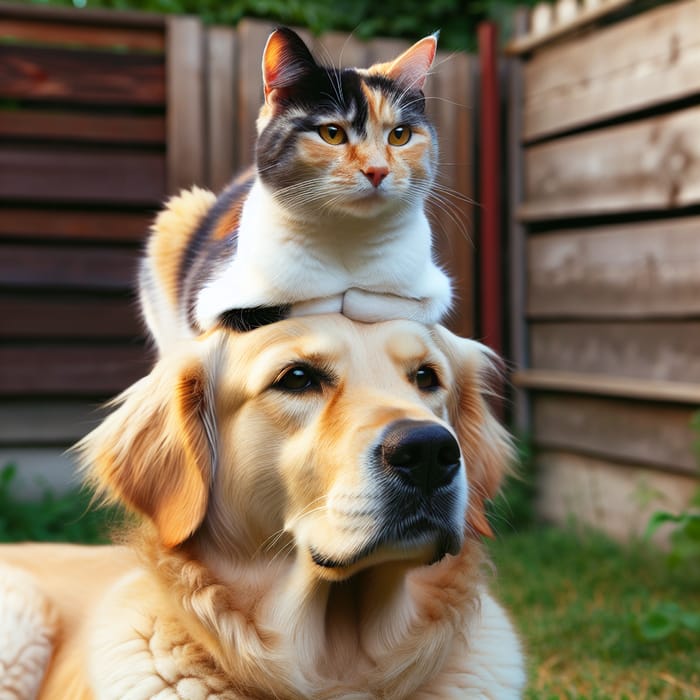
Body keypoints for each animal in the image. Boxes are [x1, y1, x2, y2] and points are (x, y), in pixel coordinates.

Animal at [139, 26, 452, 356]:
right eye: (332, 133)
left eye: (400, 135)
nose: (377, 170)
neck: (346, 239)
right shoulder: (208, 297)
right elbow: (309, 303)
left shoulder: (436, 288)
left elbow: (391, 303)